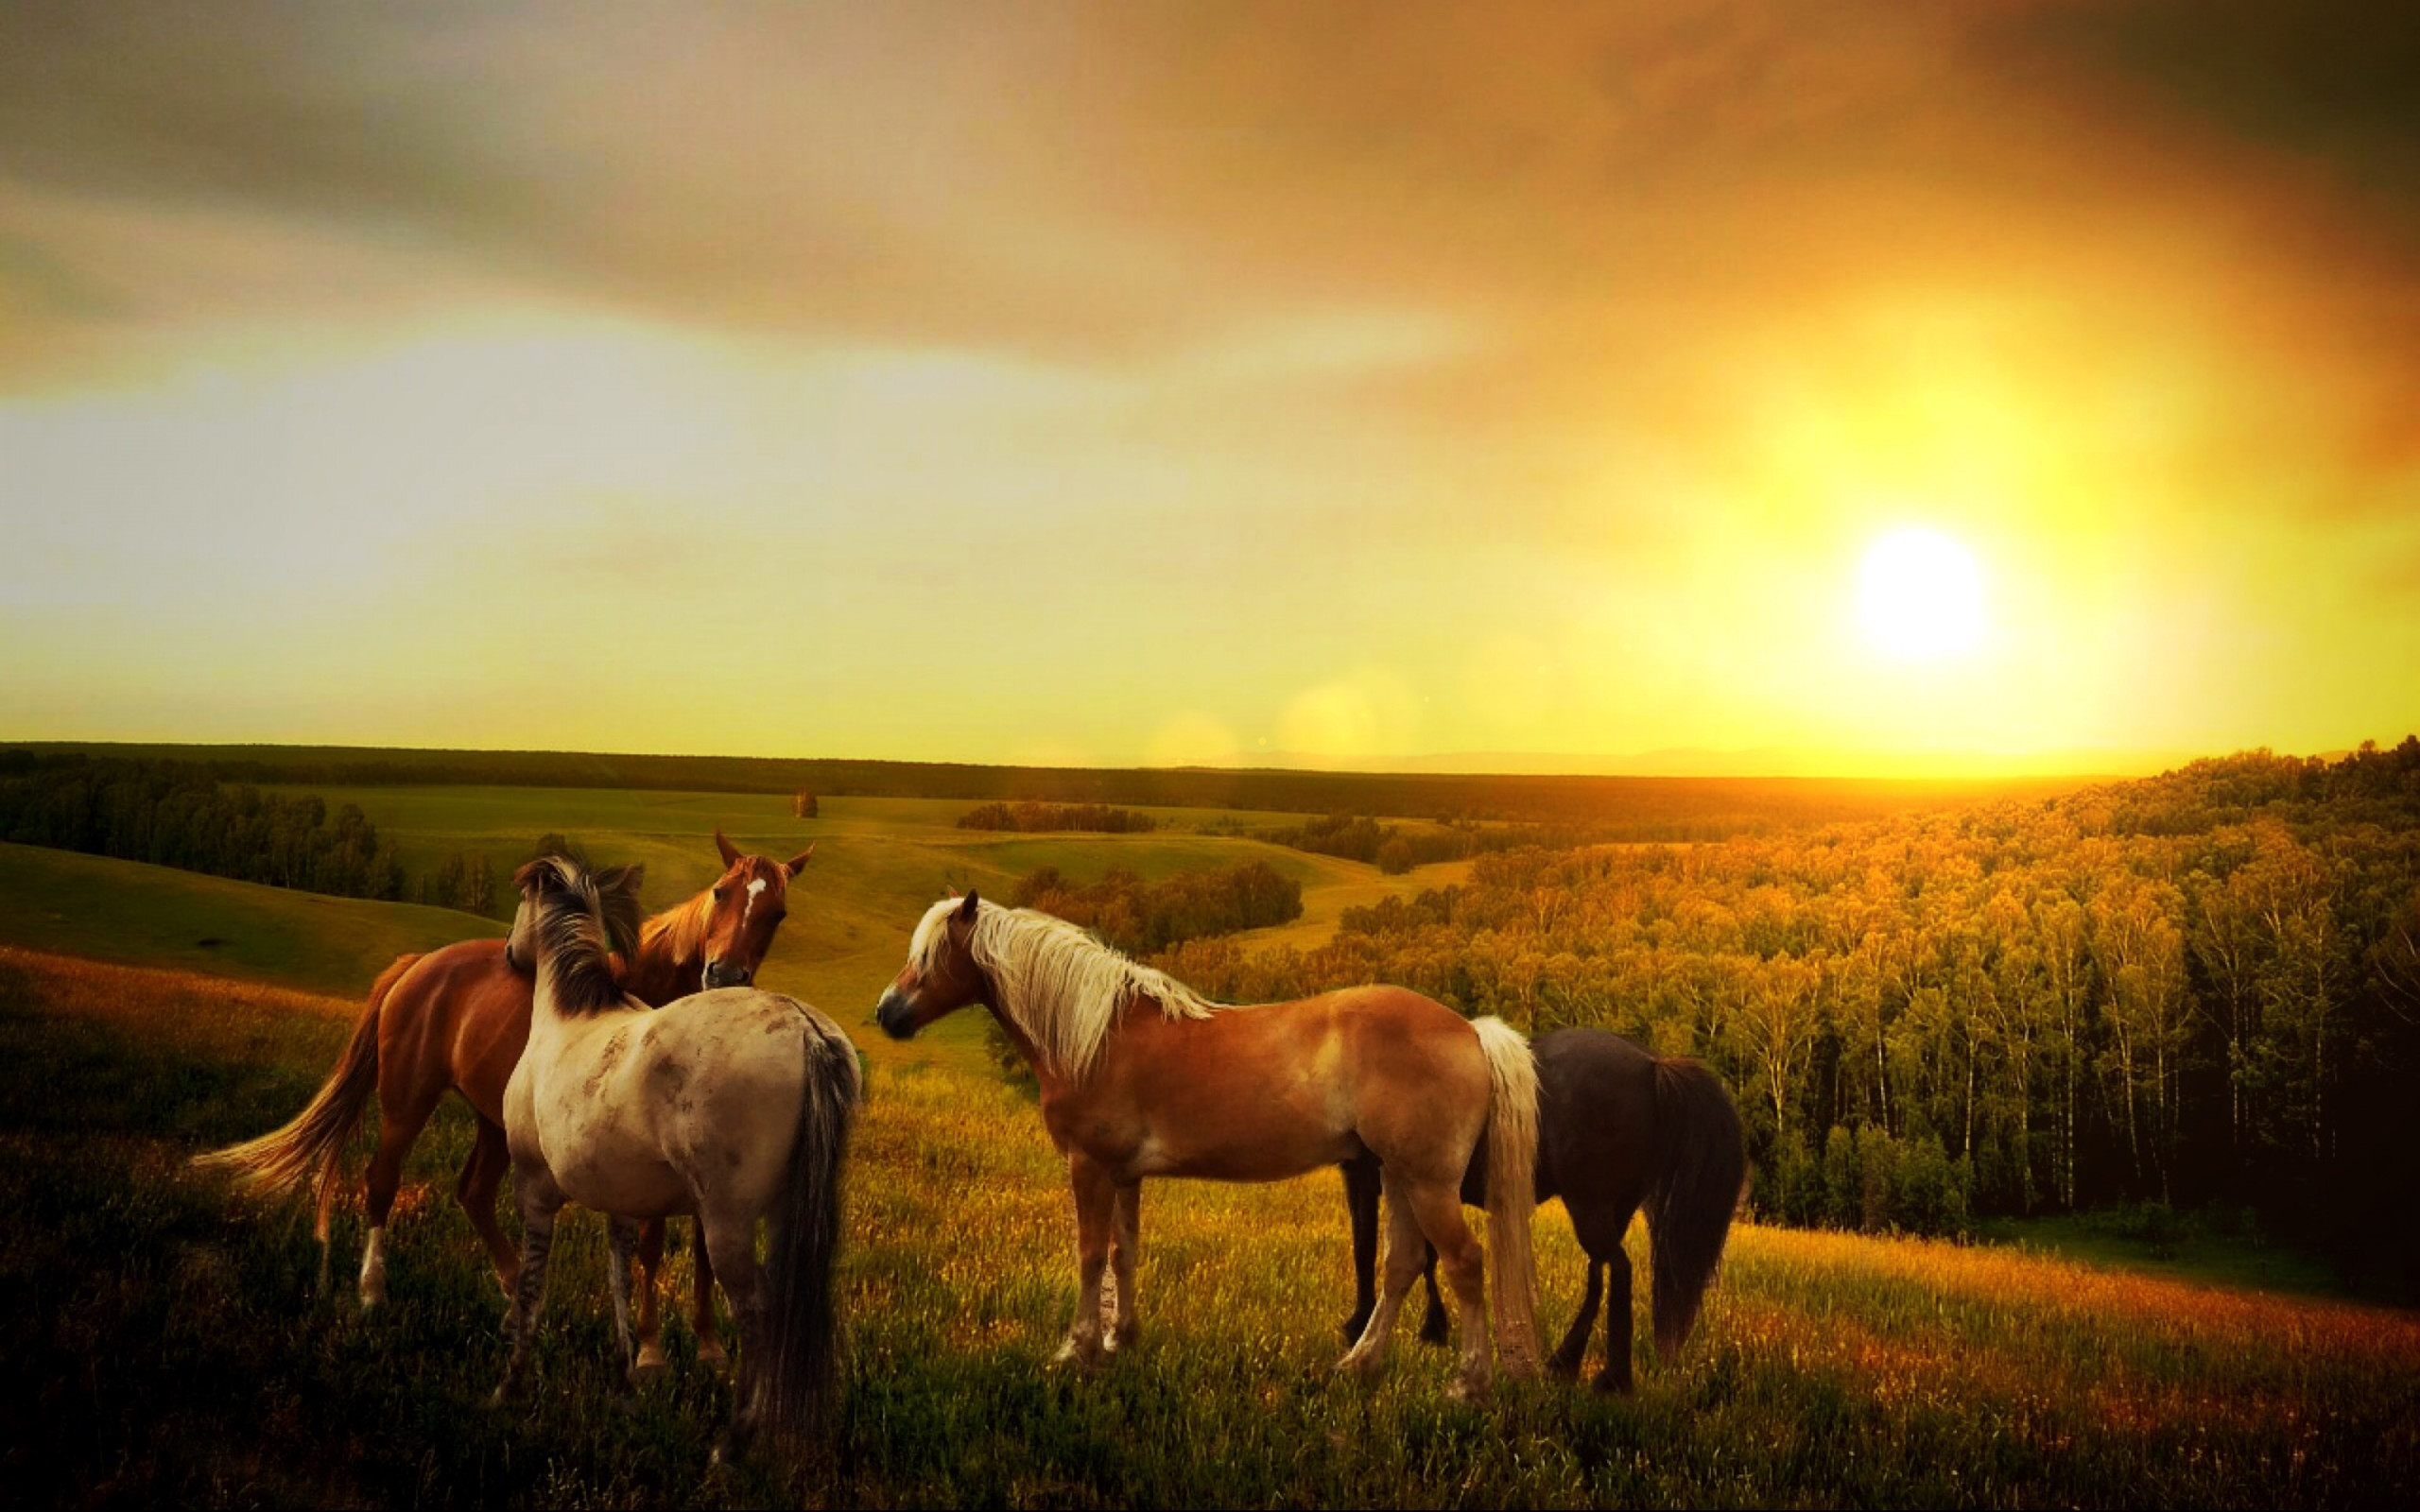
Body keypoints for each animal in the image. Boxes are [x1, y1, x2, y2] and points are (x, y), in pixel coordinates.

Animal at [196, 830, 813, 1380]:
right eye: (720, 893)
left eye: (778, 913)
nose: (723, 975)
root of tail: (419, 963)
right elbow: (654, 1244)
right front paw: (650, 1353)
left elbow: (703, 1247)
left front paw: (709, 1348)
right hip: (406, 1102)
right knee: (382, 1181)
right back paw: (374, 1292)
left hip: (493, 1121)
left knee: (473, 1192)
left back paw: (518, 1300)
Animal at [491, 855, 860, 1461]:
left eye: (520, 903)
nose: (508, 951)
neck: (568, 1017)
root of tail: (805, 1030)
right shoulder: (620, 1206)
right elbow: (620, 1280)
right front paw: (624, 1385)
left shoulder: (535, 1190)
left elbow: (530, 1286)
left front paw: (510, 1387)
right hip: (787, 1214)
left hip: (728, 1224)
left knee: (756, 1312)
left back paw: (731, 1445)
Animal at [874, 890, 1545, 1401]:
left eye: (932, 956)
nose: (887, 1013)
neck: (1098, 1035)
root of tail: (1469, 1030)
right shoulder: (1125, 1175)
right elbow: (1123, 1253)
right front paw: (1120, 1341)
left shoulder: (1089, 1167)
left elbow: (1090, 1256)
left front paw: (1076, 1351)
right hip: (1397, 1176)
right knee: (1402, 1265)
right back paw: (1358, 1365)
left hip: (1428, 1184)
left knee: (1464, 1264)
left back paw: (1468, 1384)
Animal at [1338, 1026, 1746, 1394]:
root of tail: (1652, 1066)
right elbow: (1425, 1257)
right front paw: (1433, 1327)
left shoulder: (1368, 1178)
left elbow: (1368, 1248)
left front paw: (1360, 1326)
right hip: (1610, 1210)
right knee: (1599, 1271)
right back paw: (1565, 1362)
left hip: (1590, 1206)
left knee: (1618, 1269)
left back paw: (1612, 1377)